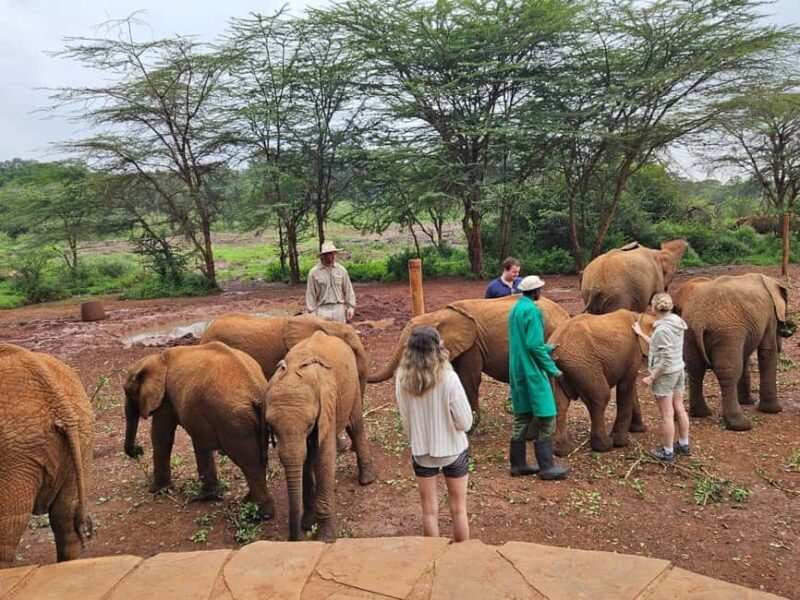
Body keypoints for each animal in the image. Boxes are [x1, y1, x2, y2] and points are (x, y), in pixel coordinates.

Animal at [123, 341, 275, 518]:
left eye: (127, 392)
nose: (138, 451)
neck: (157, 359)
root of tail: (255, 390)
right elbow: (200, 441)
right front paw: (208, 496)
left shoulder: (165, 399)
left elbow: (161, 437)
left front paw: (156, 491)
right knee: (259, 459)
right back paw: (247, 503)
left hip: (235, 421)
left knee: (250, 463)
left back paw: (259, 515)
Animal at [265, 331, 377, 542]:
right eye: (272, 427)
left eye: (310, 423)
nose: (293, 540)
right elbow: (305, 461)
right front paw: (308, 524)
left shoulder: (326, 407)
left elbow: (323, 458)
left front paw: (325, 538)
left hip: (352, 384)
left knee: (355, 426)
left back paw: (367, 480)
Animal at [549, 310, 655, 456]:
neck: (639, 315)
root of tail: (557, 347)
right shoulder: (634, 352)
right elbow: (625, 388)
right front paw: (621, 443)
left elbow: (630, 387)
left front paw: (639, 429)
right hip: (585, 366)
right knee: (600, 398)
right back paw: (605, 446)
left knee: (560, 405)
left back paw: (562, 451)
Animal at [672, 273, 793, 431]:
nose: (790, 326)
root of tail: (699, 321)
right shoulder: (769, 315)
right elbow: (767, 351)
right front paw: (774, 410)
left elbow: (745, 356)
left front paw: (747, 402)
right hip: (726, 333)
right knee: (728, 373)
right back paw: (740, 425)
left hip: (690, 333)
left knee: (695, 369)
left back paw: (701, 414)